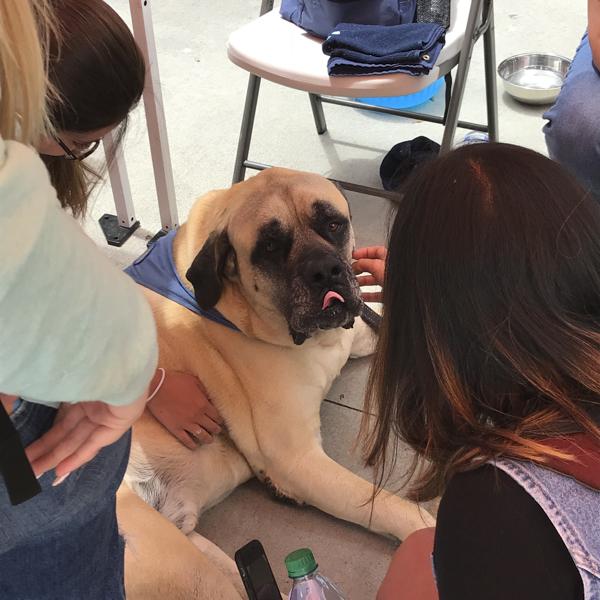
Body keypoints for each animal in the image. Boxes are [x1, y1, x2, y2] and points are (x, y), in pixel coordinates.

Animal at [126, 168, 434, 592]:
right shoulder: (298, 460)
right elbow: (389, 506)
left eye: (333, 224)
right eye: (270, 246)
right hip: (188, 569)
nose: (325, 271)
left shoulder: (361, 335)